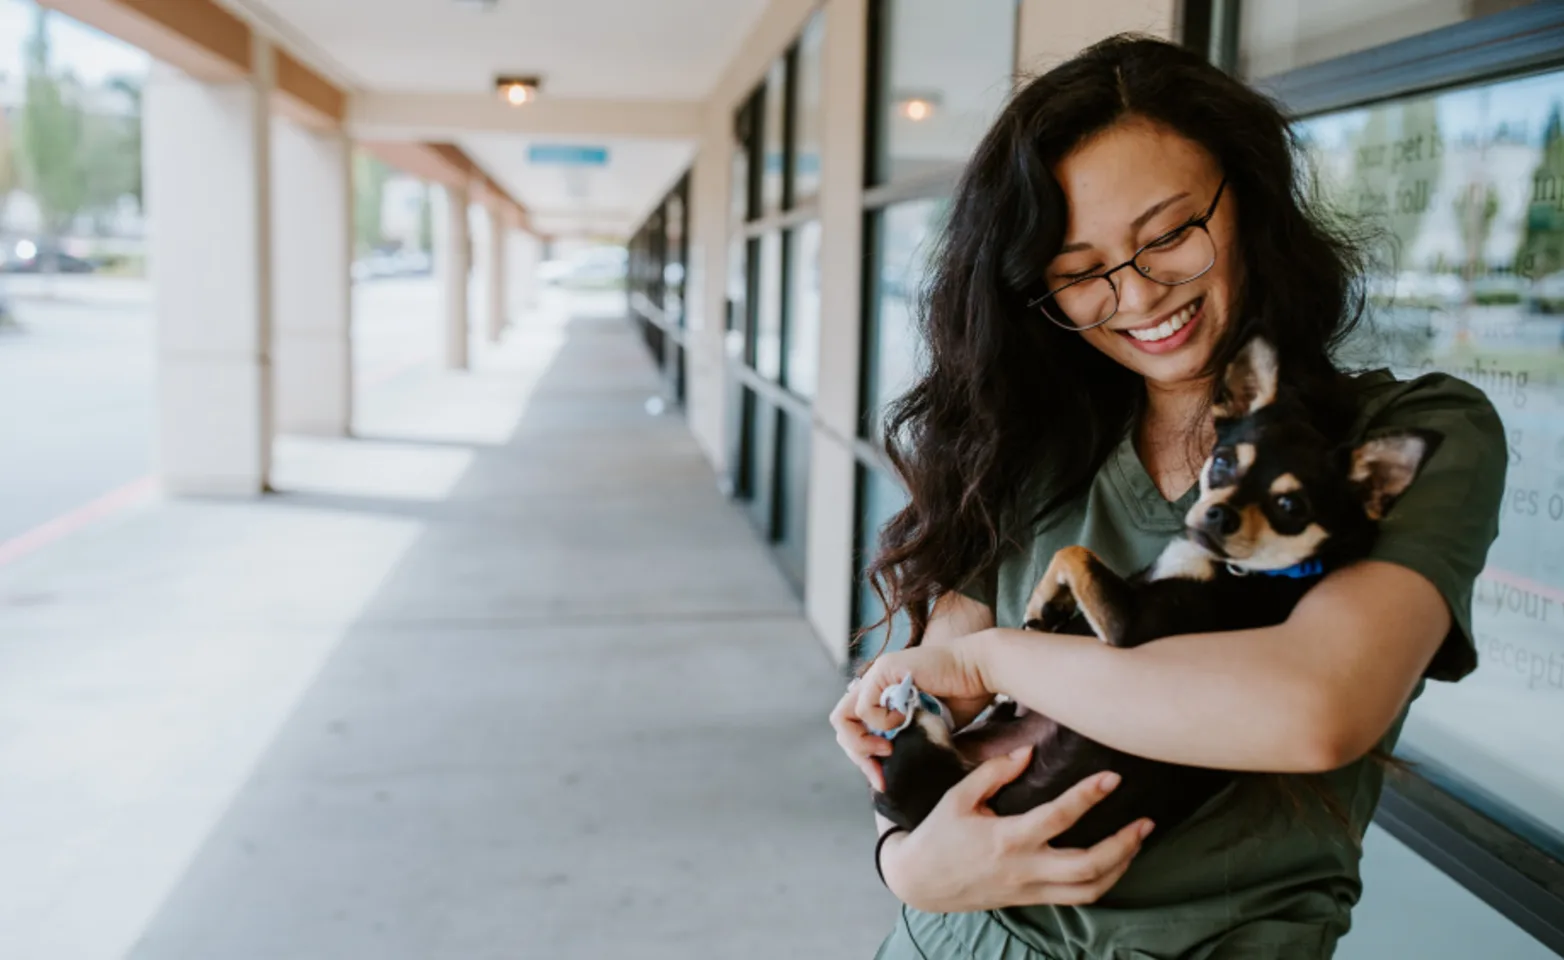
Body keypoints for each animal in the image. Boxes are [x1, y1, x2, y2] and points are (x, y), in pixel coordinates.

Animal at [875, 339, 1432, 850]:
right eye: (1222, 462)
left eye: (1291, 506)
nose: (1218, 515)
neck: (1250, 569)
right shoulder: (1132, 588)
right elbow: (1070, 575)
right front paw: (1042, 613)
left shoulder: (1131, 627)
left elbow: (1076, 553)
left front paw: (1040, 619)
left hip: (925, 768)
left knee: (907, 759)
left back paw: (912, 709)